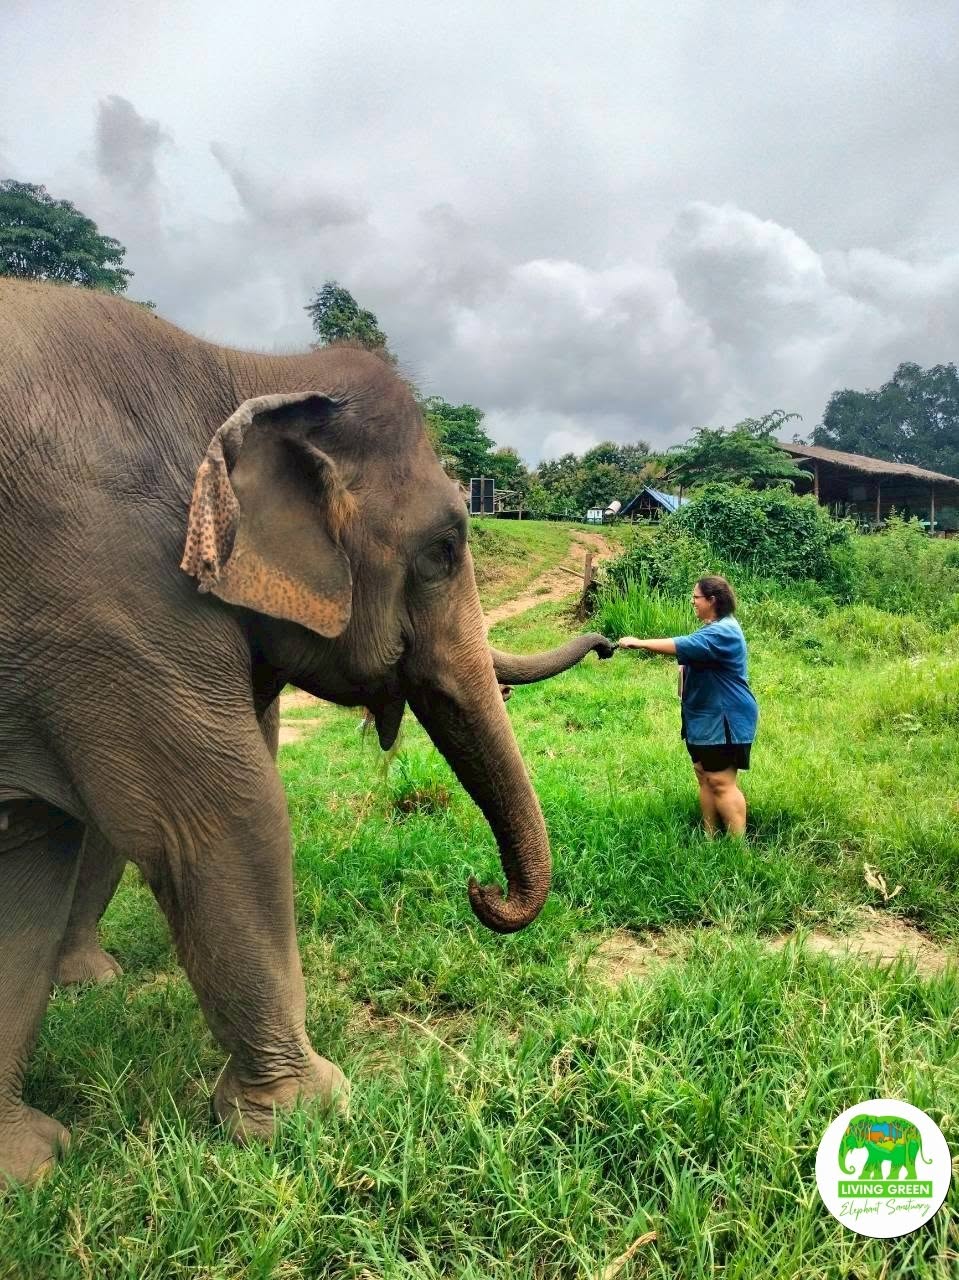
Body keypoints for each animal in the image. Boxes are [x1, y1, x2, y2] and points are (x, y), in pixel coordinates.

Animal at [0, 277, 615, 1185]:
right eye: (443, 549)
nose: (480, 891)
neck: (239, 365)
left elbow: (30, 867)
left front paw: (29, 1167)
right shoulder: (101, 595)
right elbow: (223, 817)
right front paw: (309, 1117)